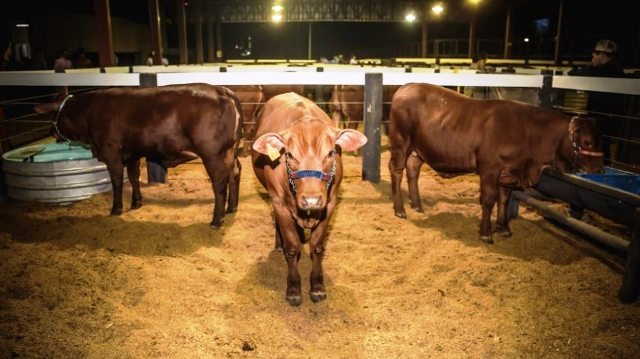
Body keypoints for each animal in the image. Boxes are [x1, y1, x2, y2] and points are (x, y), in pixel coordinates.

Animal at [36, 83, 244, 228]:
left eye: (54, 115)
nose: (50, 131)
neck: (88, 114)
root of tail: (222, 90)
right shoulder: (133, 152)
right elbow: (133, 176)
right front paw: (136, 202)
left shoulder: (111, 151)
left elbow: (117, 180)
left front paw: (116, 208)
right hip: (229, 151)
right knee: (234, 172)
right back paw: (231, 208)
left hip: (212, 153)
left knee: (219, 181)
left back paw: (217, 219)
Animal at [252, 92, 368, 306]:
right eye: (289, 155)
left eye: (331, 152)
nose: (311, 200)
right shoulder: (279, 202)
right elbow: (292, 247)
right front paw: (293, 288)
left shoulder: (330, 204)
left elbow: (318, 247)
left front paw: (317, 286)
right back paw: (279, 243)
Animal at [388, 83, 604, 243]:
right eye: (587, 142)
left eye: (599, 139)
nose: (600, 168)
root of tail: (405, 87)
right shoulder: (490, 168)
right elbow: (489, 199)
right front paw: (486, 233)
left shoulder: (507, 173)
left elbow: (504, 199)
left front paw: (504, 228)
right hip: (400, 142)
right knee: (396, 171)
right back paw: (400, 210)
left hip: (417, 150)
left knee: (412, 170)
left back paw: (417, 205)